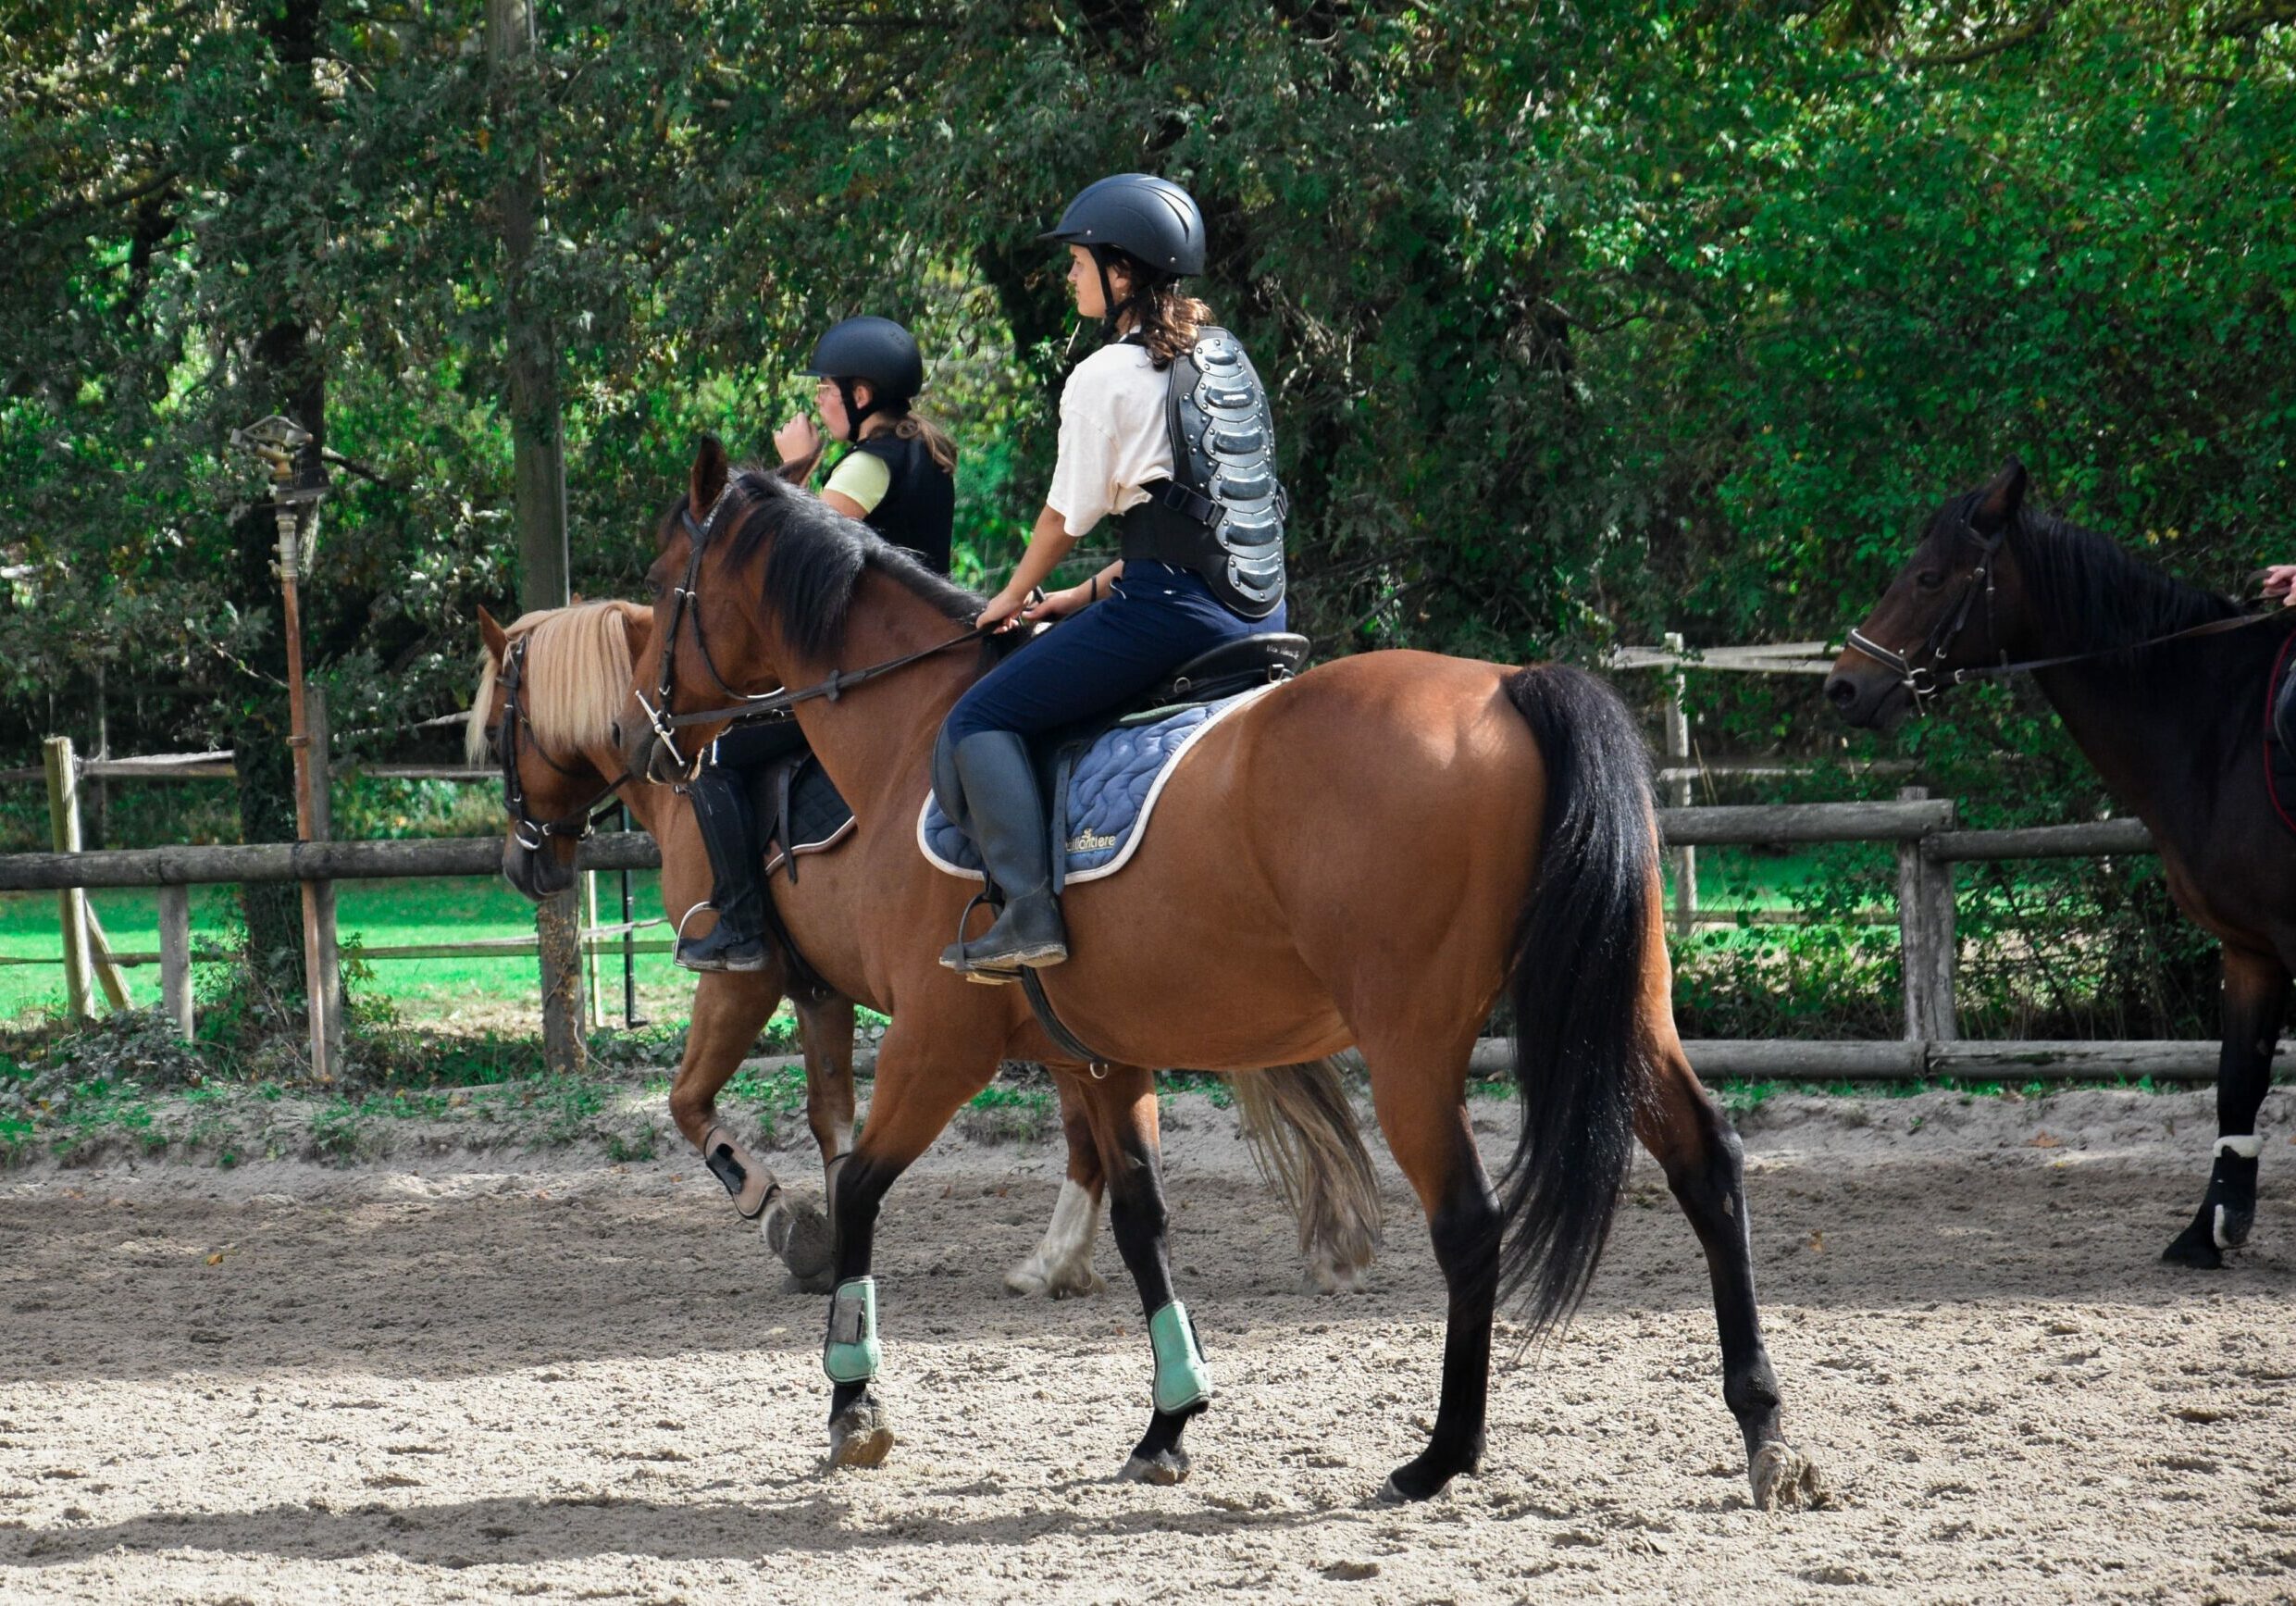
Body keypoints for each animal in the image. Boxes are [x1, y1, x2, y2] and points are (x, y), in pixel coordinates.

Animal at [465, 597, 1377, 1304]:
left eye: (500, 735)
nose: (520, 864)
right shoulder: (818, 990)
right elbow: (829, 1112)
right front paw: (837, 1229)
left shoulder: (741, 981)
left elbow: (687, 1104)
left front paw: (786, 1218)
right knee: (1088, 1134)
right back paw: (1058, 1260)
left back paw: (1055, 1258)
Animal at [605, 436, 1809, 1507]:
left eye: (663, 585)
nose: (637, 740)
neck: (912, 735)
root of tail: (1512, 687)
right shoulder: (1099, 1057)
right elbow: (1142, 1220)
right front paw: (1169, 1420)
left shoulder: (941, 1040)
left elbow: (858, 1185)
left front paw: (853, 1402)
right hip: (1620, 1009)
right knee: (1708, 1163)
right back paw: (1764, 1430)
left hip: (1413, 1043)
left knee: (1471, 1224)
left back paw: (1441, 1455)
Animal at [1827, 459, 2296, 1277]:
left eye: (1928, 578)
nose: (1844, 685)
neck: (2224, 727)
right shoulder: (2249, 948)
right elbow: (2236, 1083)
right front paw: (2205, 1233)